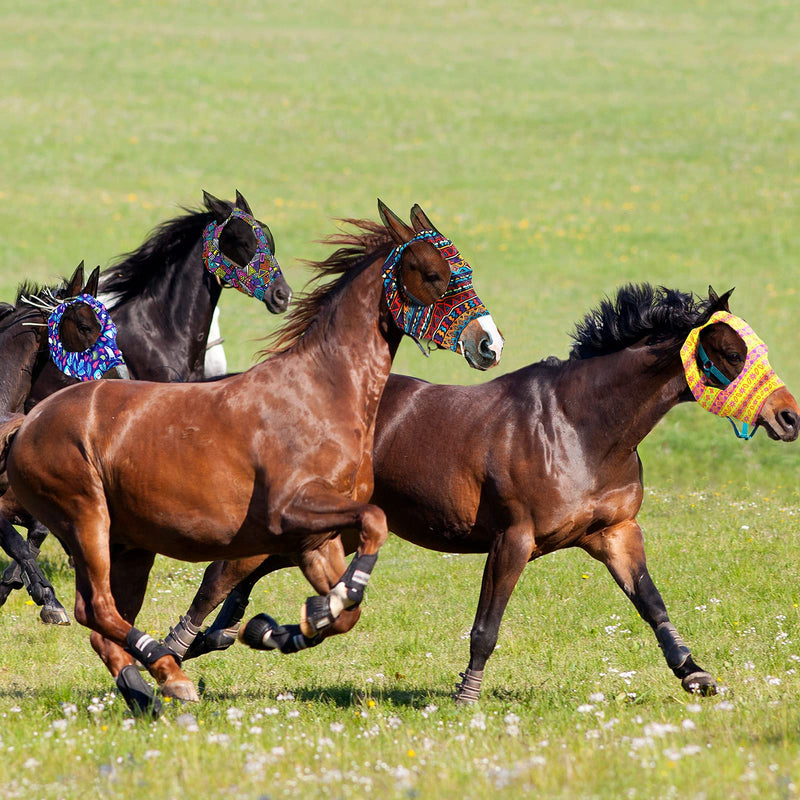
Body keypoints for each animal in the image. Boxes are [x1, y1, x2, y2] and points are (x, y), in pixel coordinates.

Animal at [168, 284, 799, 703]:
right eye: (730, 352)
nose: (788, 417)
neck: (582, 428)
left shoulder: (615, 533)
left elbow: (652, 603)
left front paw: (694, 673)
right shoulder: (513, 539)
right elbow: (486, 627)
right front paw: (465, 697)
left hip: (332, 531)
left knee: (247, 584)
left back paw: (248, 633)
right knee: (221, 575)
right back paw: (180, 650)